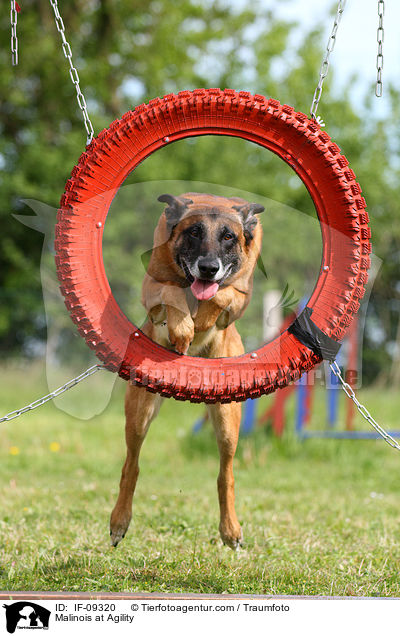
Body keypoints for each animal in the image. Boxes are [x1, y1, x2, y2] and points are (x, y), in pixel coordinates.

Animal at [111, 191, 264, 548]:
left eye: (228, 237)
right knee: (131, 464)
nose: (208, 268)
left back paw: (230, 530)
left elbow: (223, 294)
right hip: (139, 413)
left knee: (226, 473)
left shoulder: (238, 295)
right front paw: (183, 329)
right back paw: (119, 521)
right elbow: (171, 291)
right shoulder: (153, 286)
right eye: (194, 232)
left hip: (227, 421)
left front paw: (203, 318)